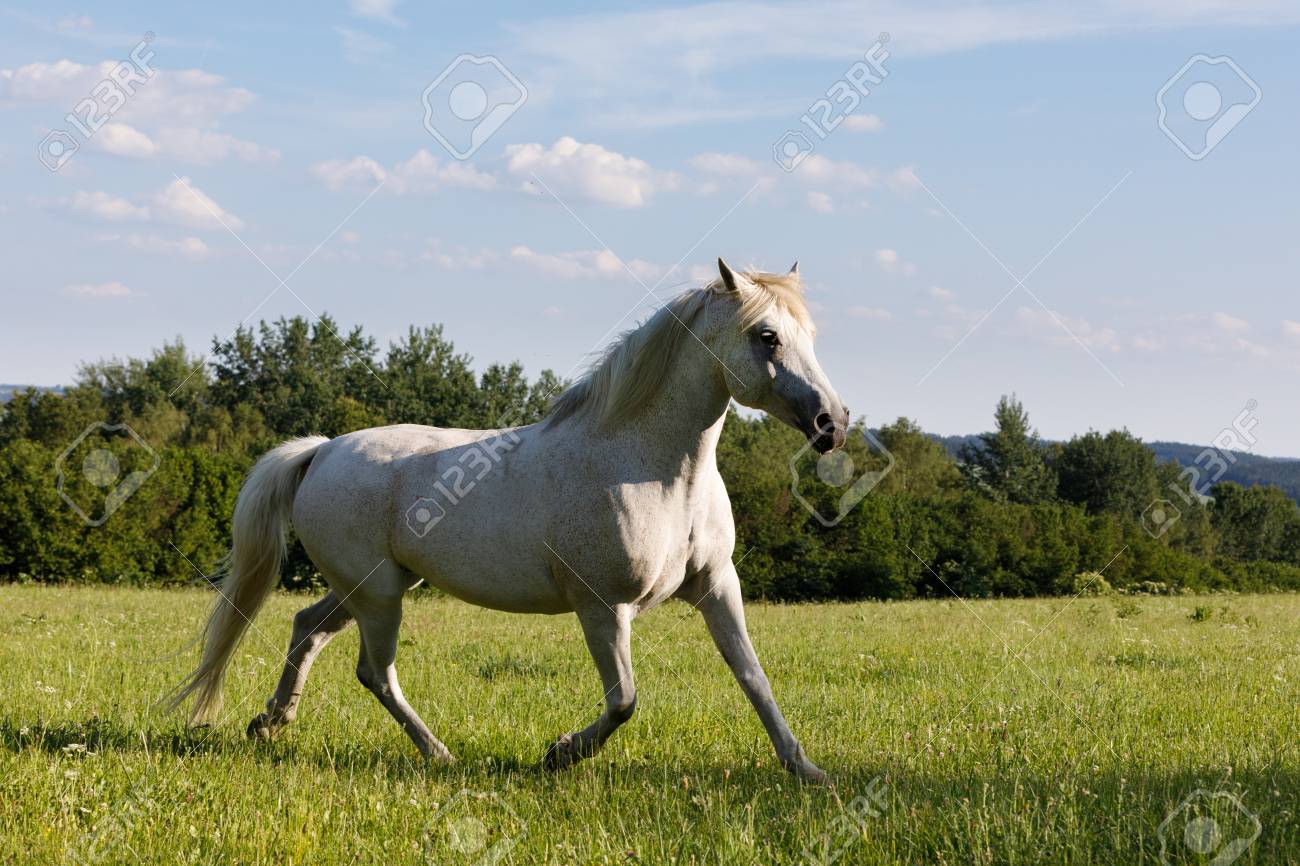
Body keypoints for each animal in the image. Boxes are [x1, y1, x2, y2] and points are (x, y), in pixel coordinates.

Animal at [171, 258, 849, 783]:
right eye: (767, 335)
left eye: (812, 332)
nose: (832, 423)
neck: (649, 469)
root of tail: (323, 450)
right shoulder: (602, 606)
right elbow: (624, 701)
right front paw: (559, 754)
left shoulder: (715, 586)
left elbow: (753, 678)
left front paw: (806, 770)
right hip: (379, 596)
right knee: (375, 672)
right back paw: (439, 754)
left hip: (366, 588)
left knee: (307, 627)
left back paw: (271, 722)